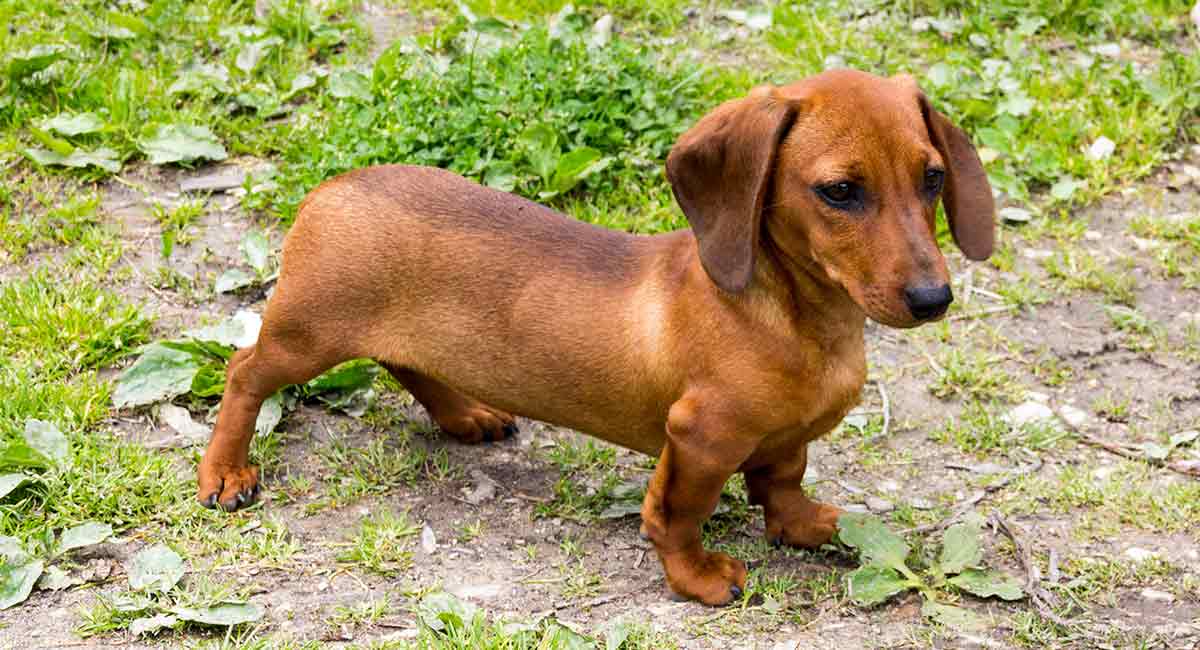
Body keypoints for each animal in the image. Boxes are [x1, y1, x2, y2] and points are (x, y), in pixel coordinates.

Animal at [199, 70, 993, 606]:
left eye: (932, 178)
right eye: (839, 191)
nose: (934, 299)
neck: (798, 315)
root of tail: (333, 187)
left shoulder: (785, 437)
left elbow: (784, 481)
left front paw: (805, 526)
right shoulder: (699, 438)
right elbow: (678, 516)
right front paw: (700, 579)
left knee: (408, 365)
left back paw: (467, 415)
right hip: (308, 335)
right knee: (244, 372)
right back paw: (224, 474)